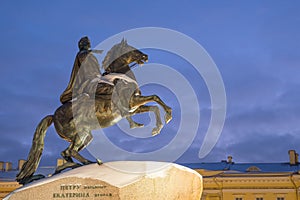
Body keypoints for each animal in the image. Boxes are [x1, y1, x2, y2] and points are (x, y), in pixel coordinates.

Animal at [15, 39, 171, 184]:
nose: (145, 56)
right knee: (70, 151)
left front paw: (157, 127)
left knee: (66, 153)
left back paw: (68, 167)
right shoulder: (132, 102)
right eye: (131, 49)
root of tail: (53, 116)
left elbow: (154, 106)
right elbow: (155, 97)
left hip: (85, 136)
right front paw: (167, 116)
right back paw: (89, 163)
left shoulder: (134, 107)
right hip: (80, 133)